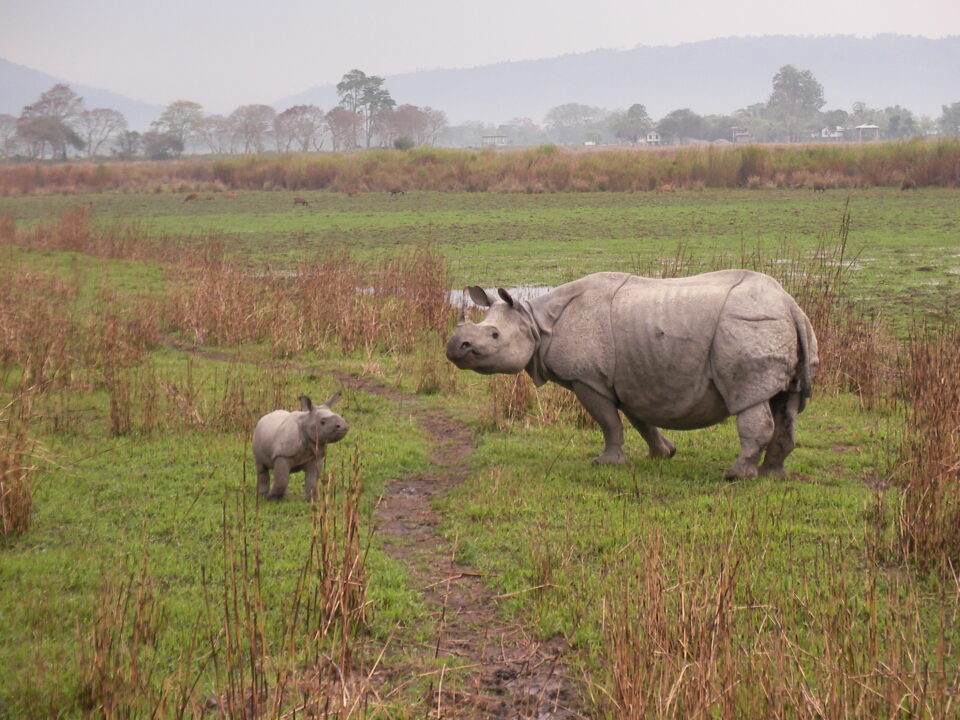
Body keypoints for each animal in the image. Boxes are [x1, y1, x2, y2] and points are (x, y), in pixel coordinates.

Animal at [446, 271, 818, 479]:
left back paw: (736, 476)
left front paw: (606, 463)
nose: (454, 347)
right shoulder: (629, 378)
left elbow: (609, 422)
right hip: (773, 325)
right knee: (786, 403)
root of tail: (790, 305)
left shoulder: (588, 379)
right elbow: (641, 420)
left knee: (750, 400)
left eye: (494, 335)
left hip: (748, 325)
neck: (535, 323)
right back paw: (772, 475)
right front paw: (663, 454)